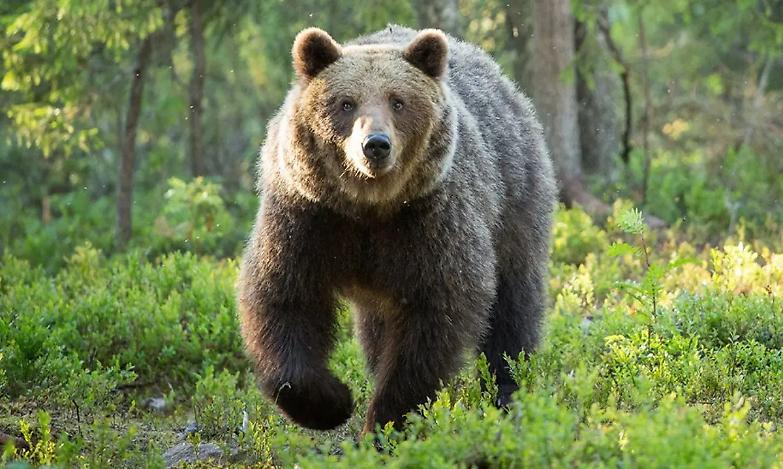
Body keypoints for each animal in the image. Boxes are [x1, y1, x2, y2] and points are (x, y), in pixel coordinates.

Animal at [237, 25, 556, 434]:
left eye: (398, 101)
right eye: (346, 103)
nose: (375, 145)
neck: (369, 207)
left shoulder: (430, 221)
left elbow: (433, 319)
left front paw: (386, 421)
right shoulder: (308, 217)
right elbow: (283, 297)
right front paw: (333, 401)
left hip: (514, 199)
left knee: (513, 304)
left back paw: (508, 389)